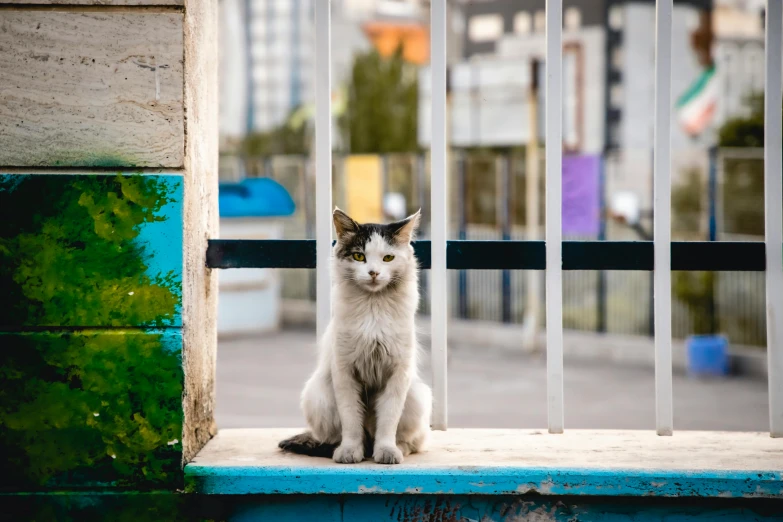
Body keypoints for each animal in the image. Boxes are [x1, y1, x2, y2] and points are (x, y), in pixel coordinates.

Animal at [278, 207, 432, 464]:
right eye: (359, 257)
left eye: (387, 258)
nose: (373, 273)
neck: (373, 307)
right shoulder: (345, 371)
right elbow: (351, 419)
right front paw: (350, 451)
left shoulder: (397, 373)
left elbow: (388, 420)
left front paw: (386, 451)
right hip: (317, 396)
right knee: (334, 437)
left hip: (417, 397)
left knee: (414, 441)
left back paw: (398, 448)